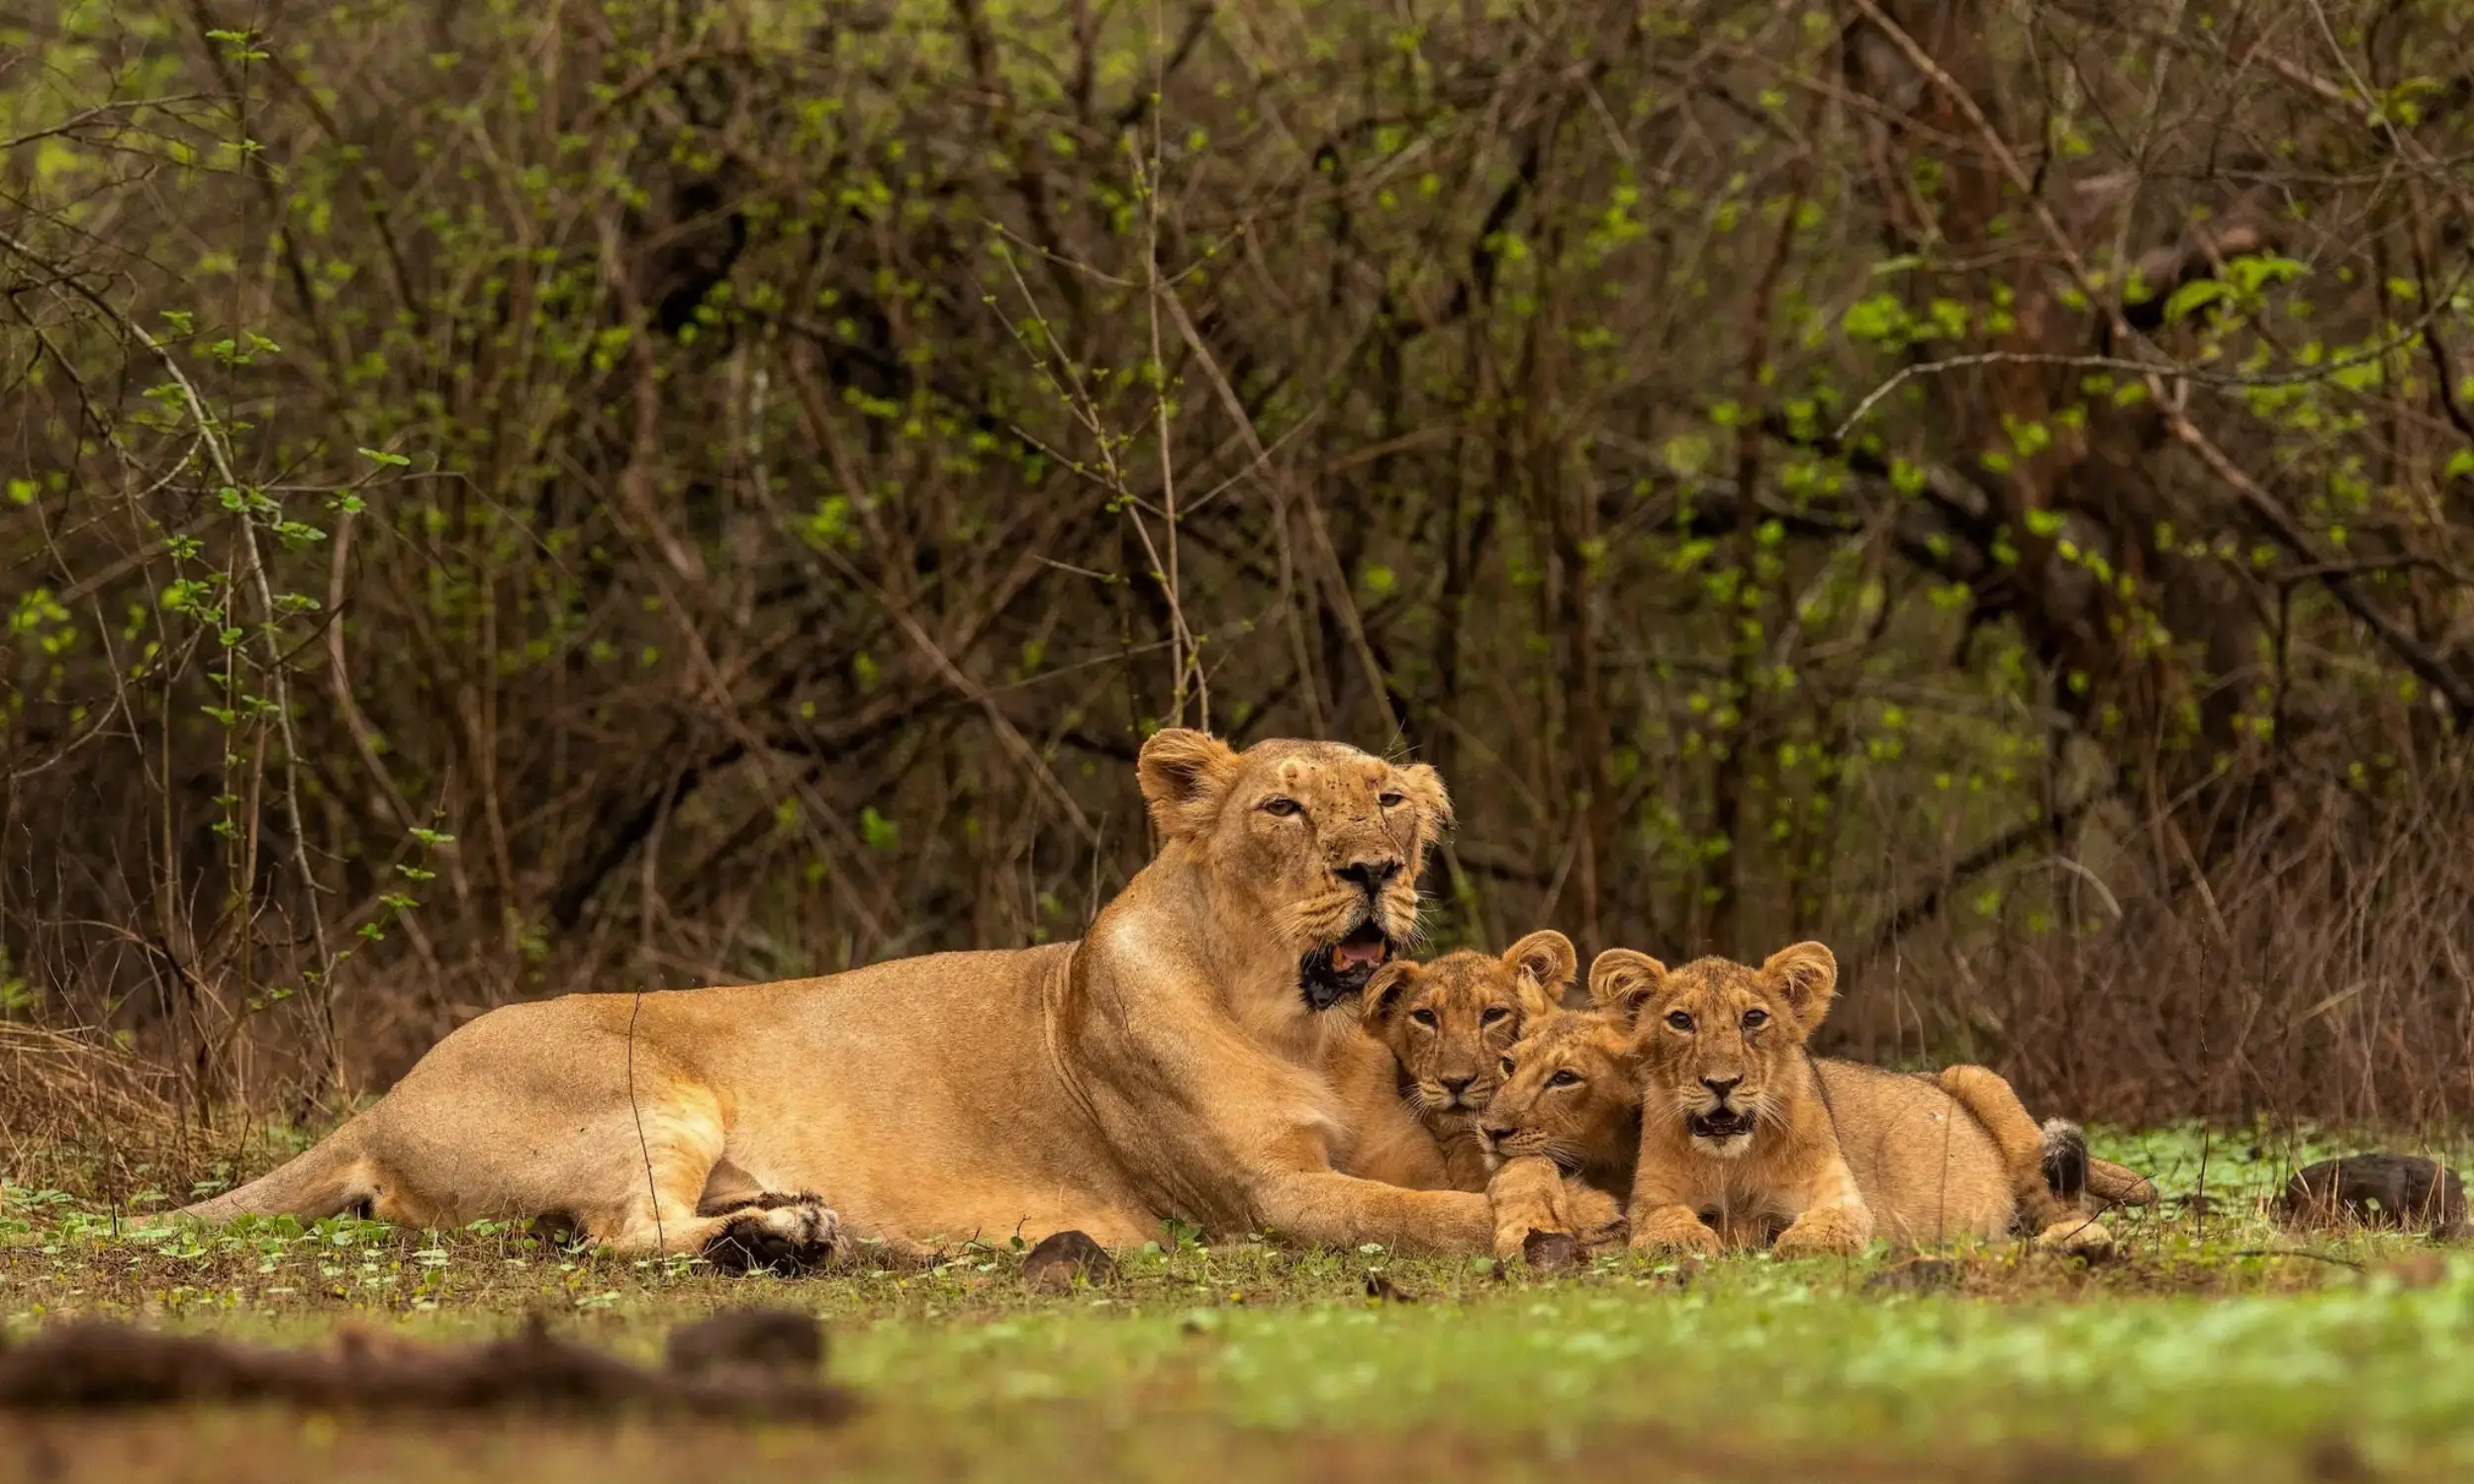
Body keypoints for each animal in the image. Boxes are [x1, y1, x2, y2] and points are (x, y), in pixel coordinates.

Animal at [175, 730, 1501, 1265]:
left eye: (1388, 800)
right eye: (1282, 807)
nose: (1373, 871)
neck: (1303, 1028)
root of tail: (388, 1097)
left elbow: (1452, 1182)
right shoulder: (1264, 1199)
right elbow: (1423, 1217)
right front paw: (1528, 1231)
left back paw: (824, 1230)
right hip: (646, 1093)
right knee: (622, 1236)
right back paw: (798, 1238)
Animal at [1589, 942, 2147, 1257]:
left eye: (1754, 1018)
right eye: (1680, 1021)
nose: (1721, 1083)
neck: (1733, 1161)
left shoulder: (1841, 1197)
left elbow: (1829, 1227)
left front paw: (1795, 1242)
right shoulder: (1654, 1197)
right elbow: (1661, 1220)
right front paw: (1685, 1239)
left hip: (1984, 1084)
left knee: (2068, 1207)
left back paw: (2072, 1241)